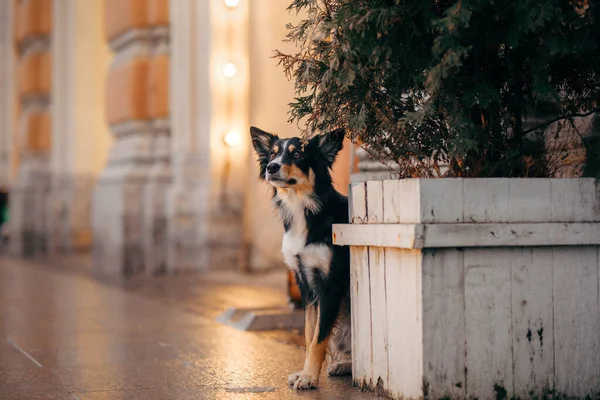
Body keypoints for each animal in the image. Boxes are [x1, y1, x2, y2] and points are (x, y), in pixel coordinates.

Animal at [248, 126, 352, 390]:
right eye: (272, 154)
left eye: (297, 154)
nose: (271, 167)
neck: (301, 206)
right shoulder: (305, 283)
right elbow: (309, 333)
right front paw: (306, 372)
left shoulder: (330, 286)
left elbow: (319, 337)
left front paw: (309, 378)